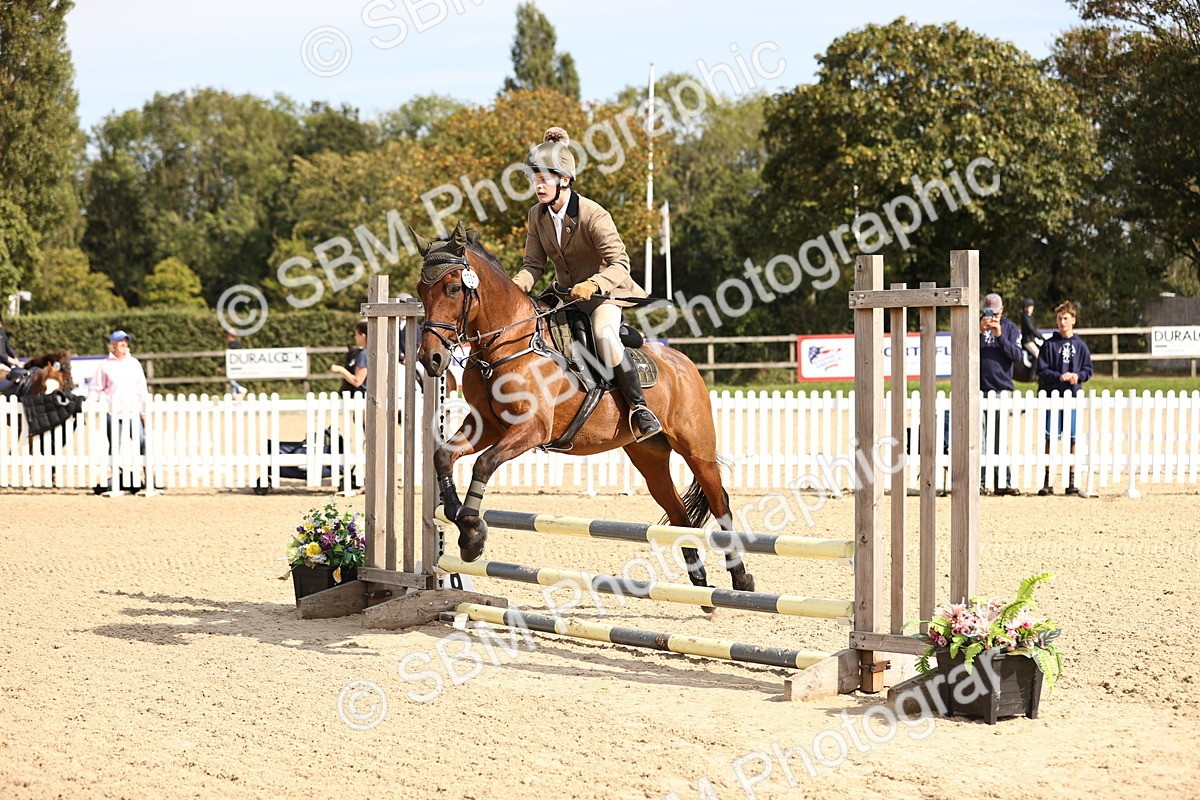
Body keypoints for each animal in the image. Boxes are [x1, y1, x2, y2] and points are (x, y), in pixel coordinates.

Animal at [414, 223, 755, 595]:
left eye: (453, 288)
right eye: (420, 290)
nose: (430, 359)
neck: (509, 345)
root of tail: (684, 362)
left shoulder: (531, 429)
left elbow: (483, 464)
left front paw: (472, 535)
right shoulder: (487, 425)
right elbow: (443, 457)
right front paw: (455, 513)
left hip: (696, 449)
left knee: (721, 505)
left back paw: (741, 579)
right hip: (649, 457)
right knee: (679, 513)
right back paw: (698, 582)